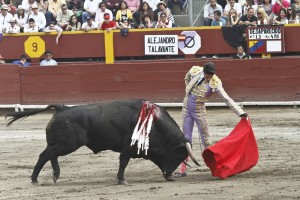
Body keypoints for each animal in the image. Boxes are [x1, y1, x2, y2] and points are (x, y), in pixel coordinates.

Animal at [5, 99, 199, 184]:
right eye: (177, 156)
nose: (170, 176)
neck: (155, 124)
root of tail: (61, 108)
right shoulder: (127, 148)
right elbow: (123, 162)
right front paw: (121, 180)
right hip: (68, 144)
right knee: (48, 155)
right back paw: (40, 178)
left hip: (58, 143)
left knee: (47, 155)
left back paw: (50, 176)